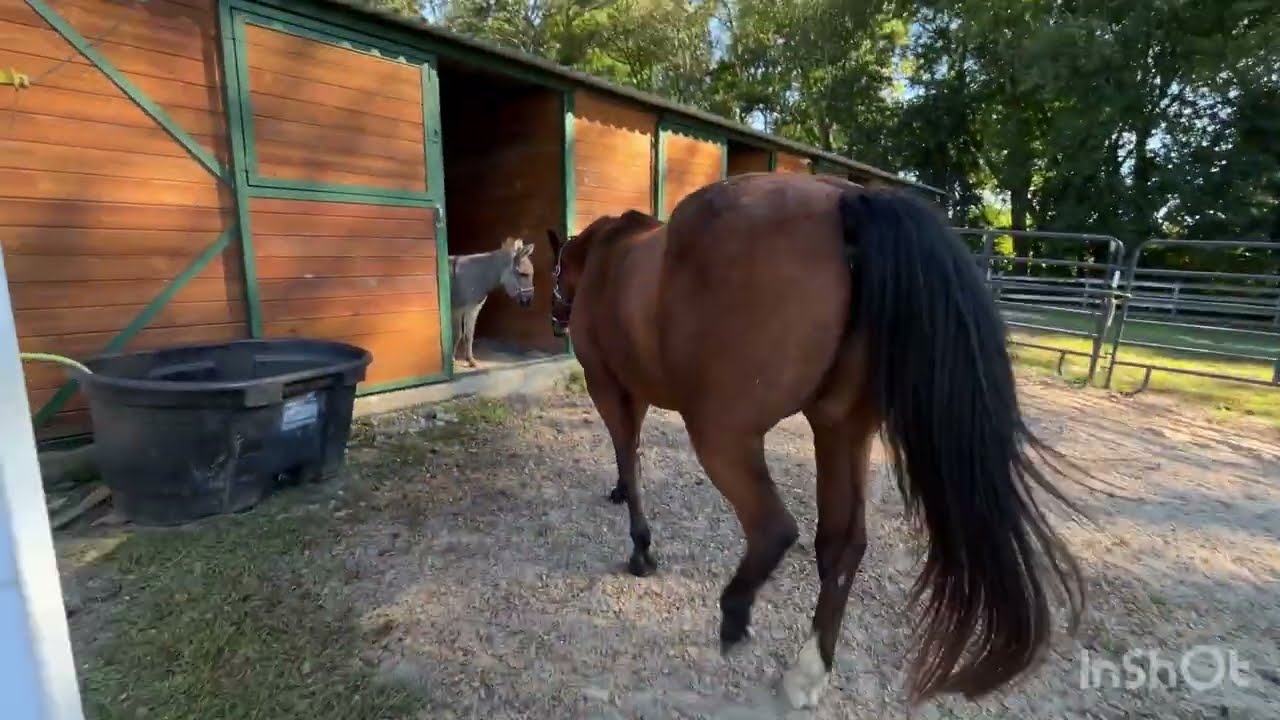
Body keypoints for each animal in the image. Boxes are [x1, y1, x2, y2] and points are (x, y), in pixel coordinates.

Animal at [448, 237, 536, 368]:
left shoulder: (473, 308)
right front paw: (452, 360)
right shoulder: (457, 309)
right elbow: (457, 334)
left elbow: (469, 334)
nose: (528, 301)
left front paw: (471, 360)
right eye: (522, 274)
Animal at [544, 172, 1086, 710]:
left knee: (775, 529)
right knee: (843, 544)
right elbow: (629, 454)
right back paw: (809, 670)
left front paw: (641, 550)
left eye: (553, 272)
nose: (553, 318)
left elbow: (629, 456)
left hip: (723, 433)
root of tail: (847, 200)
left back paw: (735, 615)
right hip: (839, 428)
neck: (608, 257)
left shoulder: (607, 385)